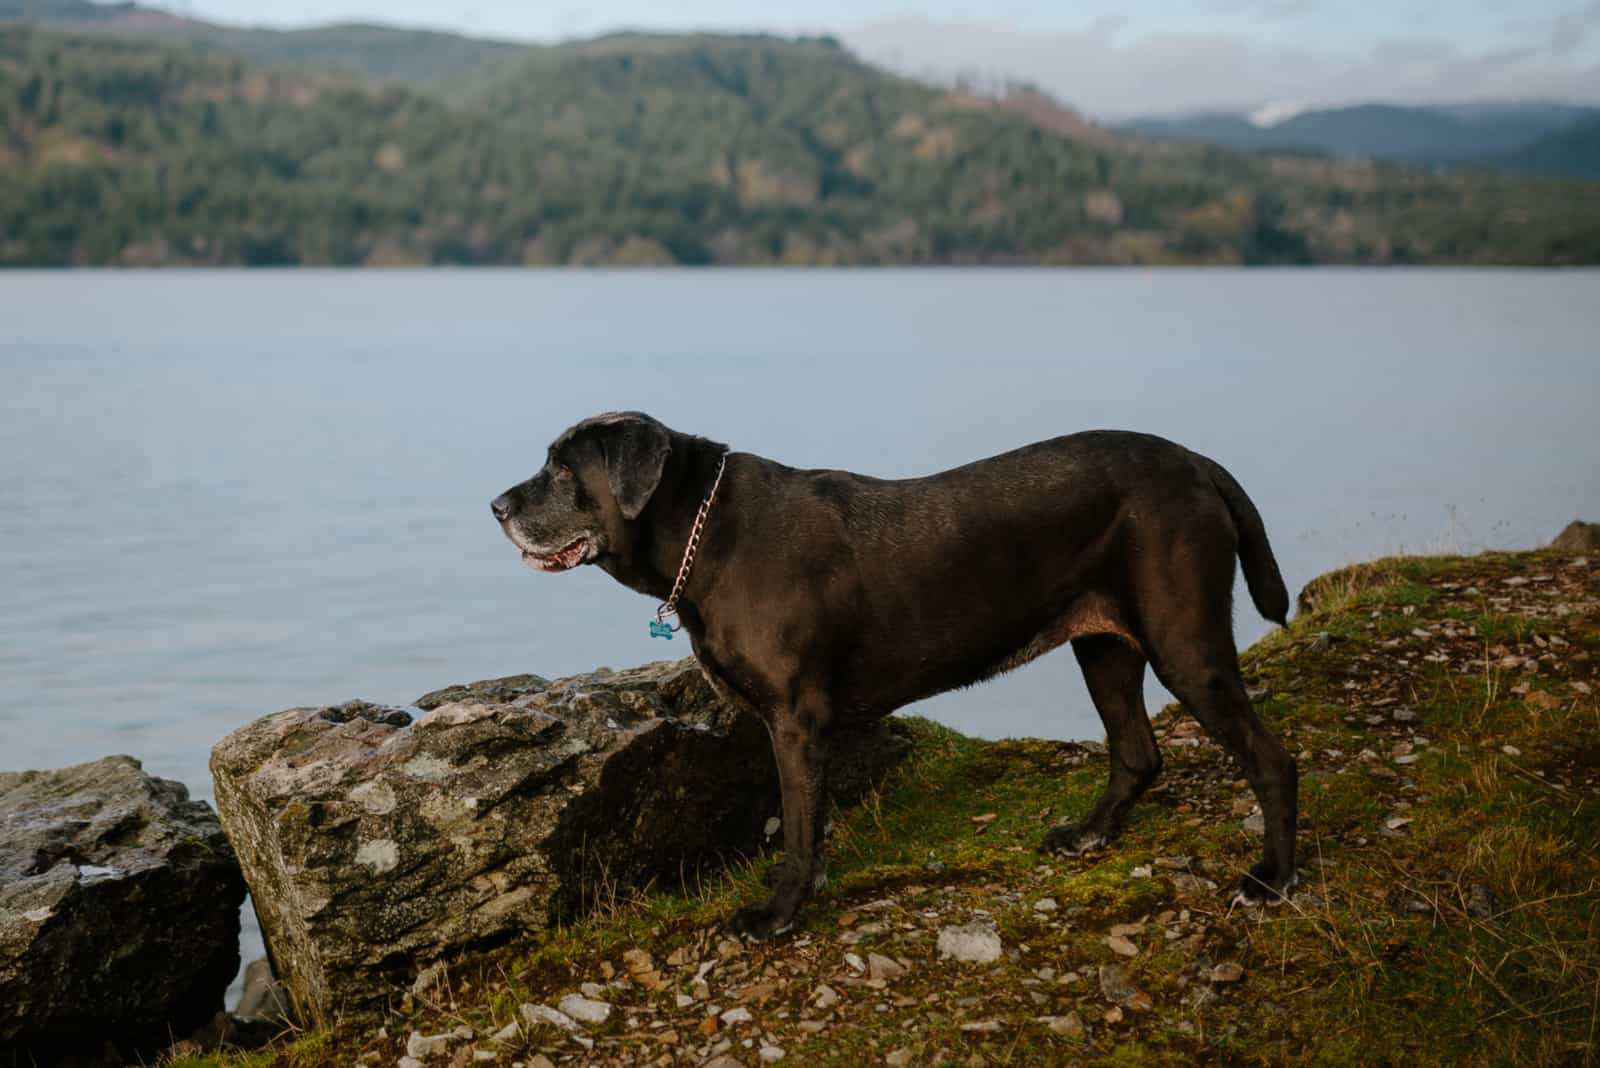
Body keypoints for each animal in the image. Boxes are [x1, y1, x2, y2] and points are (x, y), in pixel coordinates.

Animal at [489, 409, 1299, 933]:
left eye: (564, 467)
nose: (496, 504)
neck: (703, 527)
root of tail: (1196, 464)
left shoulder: (794, 720)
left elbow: (798, 828)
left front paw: (779, 914)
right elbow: (804, 821)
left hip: (1184, 643)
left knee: (1271, 758)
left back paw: (1273, 879)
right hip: (1103, 645)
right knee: (1136, 752)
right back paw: (1090, 835)